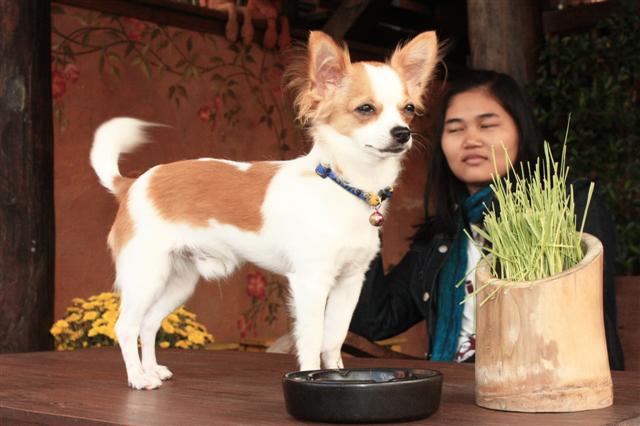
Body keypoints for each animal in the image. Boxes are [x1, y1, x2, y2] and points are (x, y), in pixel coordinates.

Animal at [90, 30, 438, 389]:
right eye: (365, 109)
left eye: (408, 109)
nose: (403, 133)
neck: (347, 185)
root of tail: (131, 183)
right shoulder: (311, 282)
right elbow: (312, 340)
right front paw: (311, 376)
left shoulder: (350, 282)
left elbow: (334, 339)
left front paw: (339, 373)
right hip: (146, 275)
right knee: (126, 327)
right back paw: (138, 378)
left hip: (178, 281)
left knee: (148, 324)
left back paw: (151, 370)